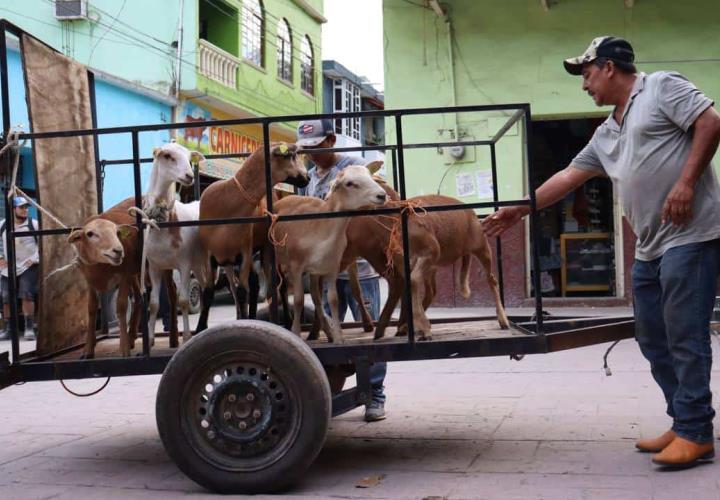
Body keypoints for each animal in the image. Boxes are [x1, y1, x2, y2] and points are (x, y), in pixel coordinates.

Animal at [141, 141, 207, 344]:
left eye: (189, 157)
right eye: (168, 156)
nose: (189, 176)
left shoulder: (184, 264)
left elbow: (184, 300)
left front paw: (185, 337)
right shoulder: (154, 266)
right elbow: (154, 304)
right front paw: (150, 339)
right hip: (199, 264)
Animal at [198, 144, 308, 324]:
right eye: (290, 155)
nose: (307, 177)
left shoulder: (245, 251)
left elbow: (243, 292)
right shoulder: (210, 255)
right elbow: (208, 293)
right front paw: (200, 328)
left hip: (267, 249)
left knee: (276, 287)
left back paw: (284, 319)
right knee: (255, 285)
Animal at [272, 164, 388, 344]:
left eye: (369, 176)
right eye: (349, 183)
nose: (381, 195)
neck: (323, 227)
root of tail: (283, 199)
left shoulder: (332, 266)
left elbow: (333, 299)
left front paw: (339, 337)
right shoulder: (296, 266)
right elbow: (298, 300)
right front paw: (296, 334)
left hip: (314, 271)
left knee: (316, 297)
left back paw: (327, 332)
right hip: (280, 262)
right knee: (283, 290)